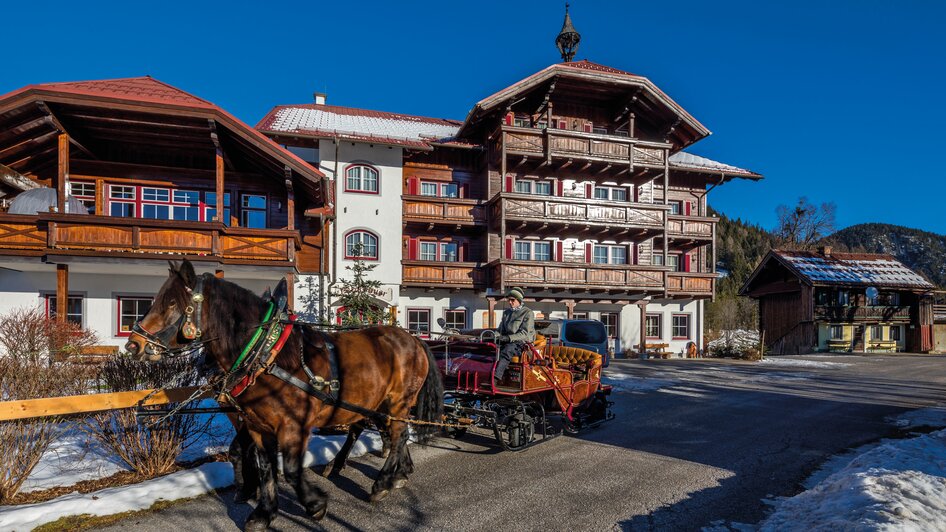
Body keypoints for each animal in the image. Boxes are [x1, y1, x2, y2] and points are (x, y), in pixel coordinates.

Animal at [124, 260, 442, 528]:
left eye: (172, 304)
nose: (133, 345)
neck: (266, 354)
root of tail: (412, 338)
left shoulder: (292, 425)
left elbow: (289, 469)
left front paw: (314, 504)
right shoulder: (256, 424)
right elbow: (264, 465)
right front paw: (262, 512)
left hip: (398, 401)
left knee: (396, 434)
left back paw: (383, 483)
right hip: (376, 402)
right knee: (389, 432)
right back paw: (396, 472)